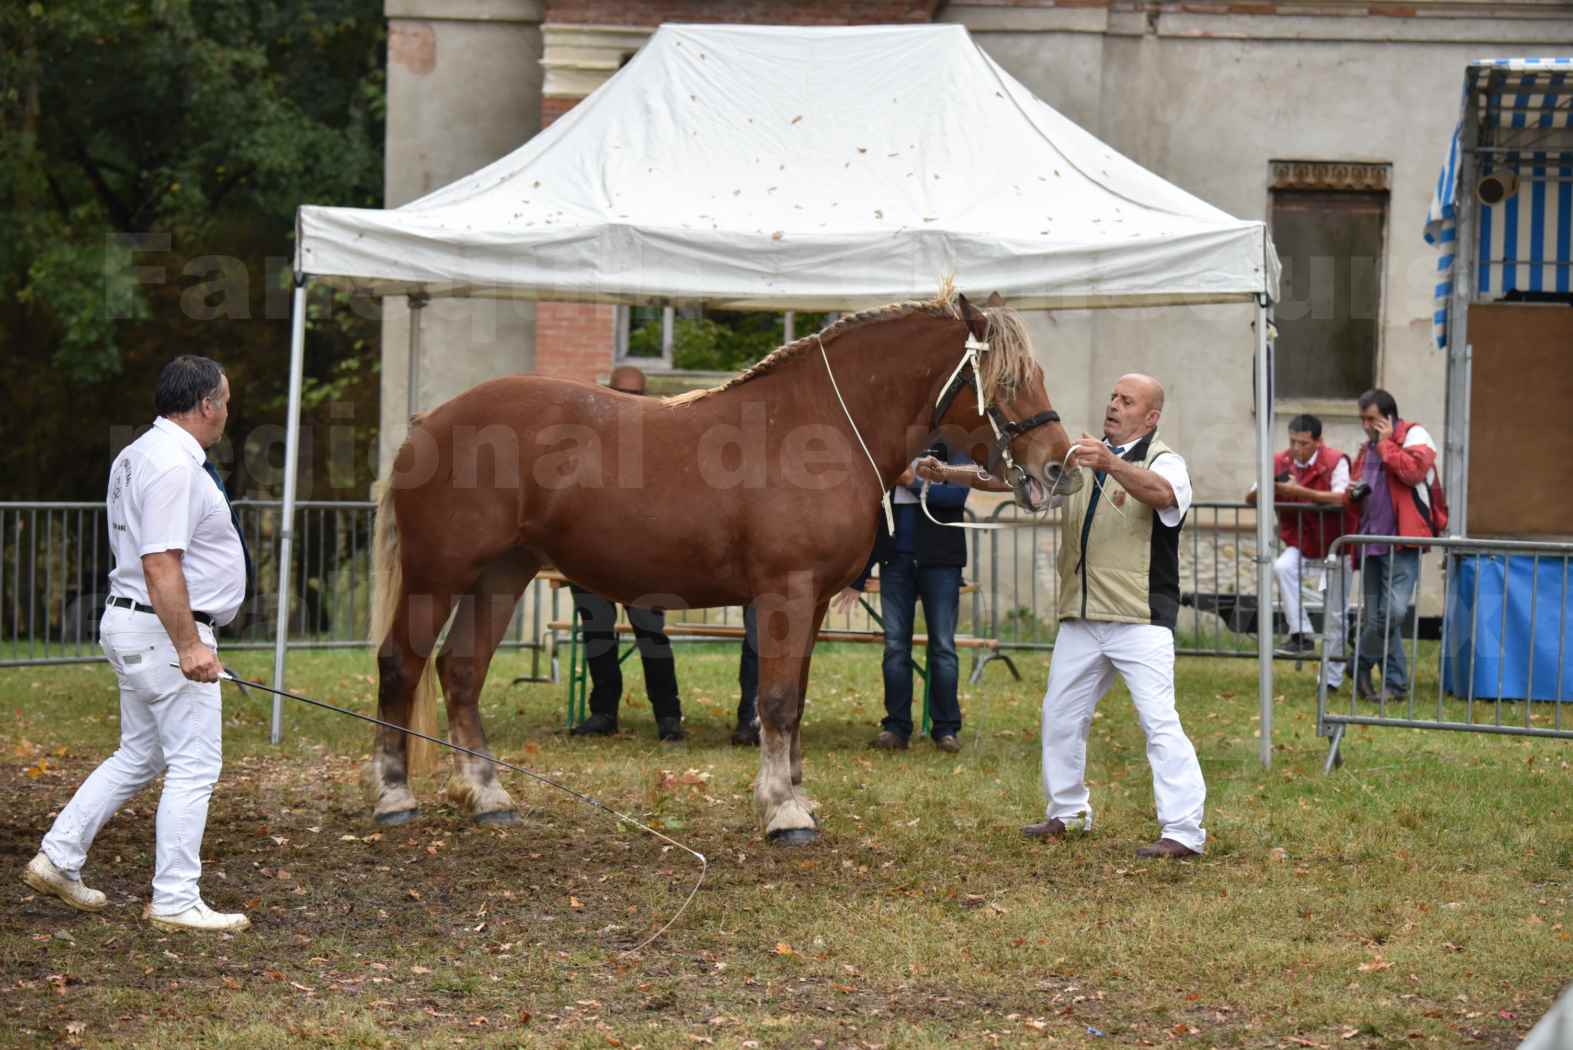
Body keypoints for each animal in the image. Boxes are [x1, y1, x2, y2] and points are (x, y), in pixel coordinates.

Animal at [371, 284, 1082, 842]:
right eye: (1008, 382)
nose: (1059, 466)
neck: (817, 430)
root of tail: (428, 423)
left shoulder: (811, 601)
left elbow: (793, 697)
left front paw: (794, 796)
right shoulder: (785, 594)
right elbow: (777, 702)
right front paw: (785, 813)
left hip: (502, 574)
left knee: (461, 671)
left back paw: (488, 796)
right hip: (438, 576)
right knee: (401, 664)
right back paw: (394, 796)